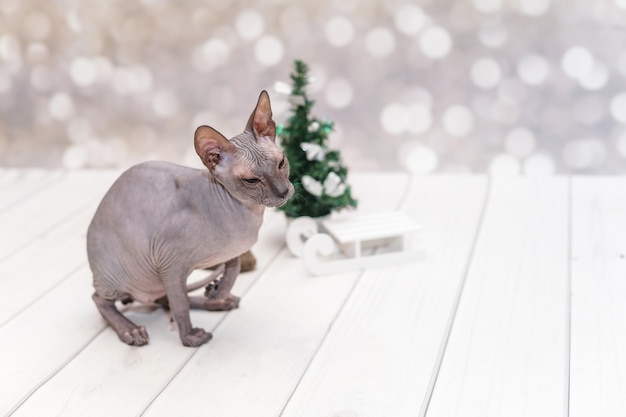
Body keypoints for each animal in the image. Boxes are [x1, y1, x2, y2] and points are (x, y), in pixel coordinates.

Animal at [86, 92, 294, 348]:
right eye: (252, 181)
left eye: (281, 163)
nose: (284, 192)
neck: (247, 214)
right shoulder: (170, 264)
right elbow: (180, 305)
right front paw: (189, 336)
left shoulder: (231, 252)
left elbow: (233, 269)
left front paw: (218, 290)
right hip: (120, 274)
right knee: (102, 299)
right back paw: (130, 329)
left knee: (164, 298)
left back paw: (217, 301)